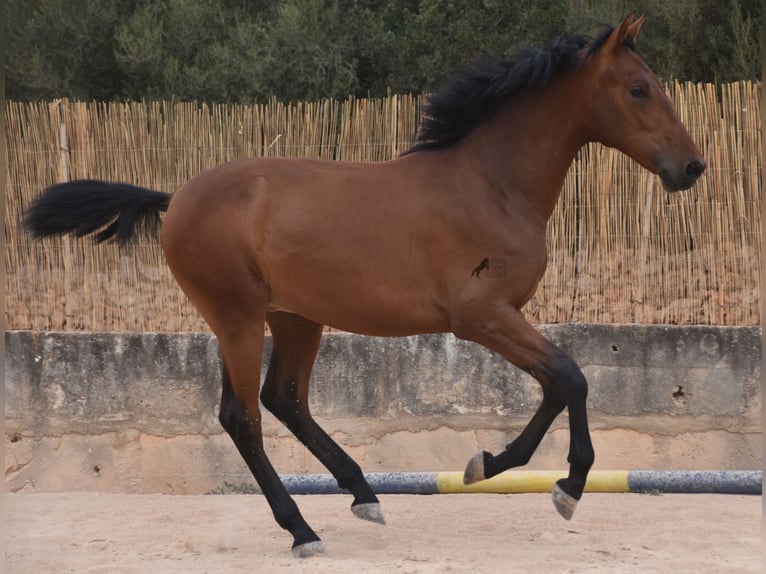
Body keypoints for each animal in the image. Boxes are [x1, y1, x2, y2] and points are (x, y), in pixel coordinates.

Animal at [25, 15, 708, 560]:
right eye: (638, 89)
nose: (692, 167)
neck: (490, 184)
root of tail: (176, 197)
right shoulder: (481, 317)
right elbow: (572, 377)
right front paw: (560, 485)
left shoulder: (502, 317)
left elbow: (555, 385)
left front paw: (491, 465)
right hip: (238, 318)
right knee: (244, 416)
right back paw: (303, 531)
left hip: (293, 318)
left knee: (283, 401)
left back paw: (362, 494)